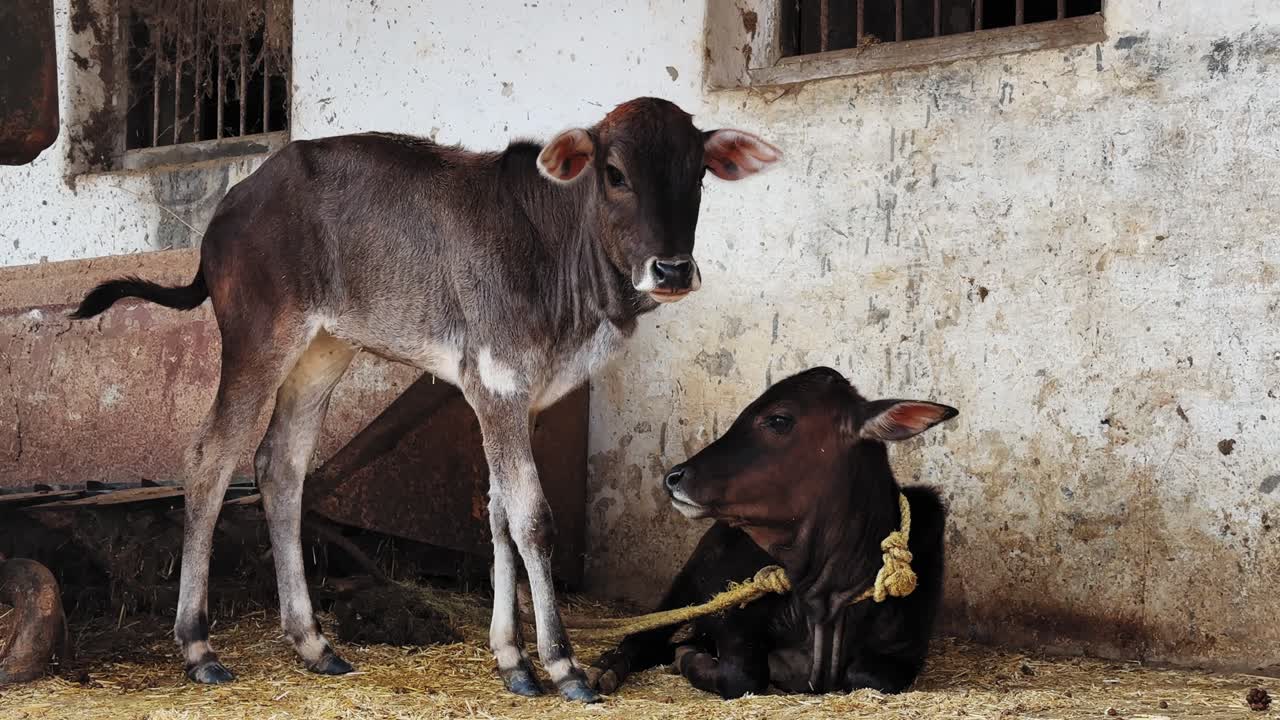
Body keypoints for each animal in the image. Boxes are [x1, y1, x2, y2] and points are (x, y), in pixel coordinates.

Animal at [70, 97, 780, 702]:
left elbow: (497, 513)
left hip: (322, 351)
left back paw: (314, 643)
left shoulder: (513, 399)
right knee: (210, 459)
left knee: (280, 466)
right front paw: (561, 665)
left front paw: (512, 662)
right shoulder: (498, 384)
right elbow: (533, 519)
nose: (673, 270)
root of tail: (231, 203)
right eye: (614, 173)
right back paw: (199, 646)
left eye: (699, 175)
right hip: (257, 340)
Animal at [588, 366, 956, 699]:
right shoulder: (732, 616)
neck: (825, 600)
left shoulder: (903, 650)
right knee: (644, 635)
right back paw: (605, 669)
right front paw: (690, 658)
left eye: (779, 420)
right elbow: (741, 676)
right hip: (690, 578)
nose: (673, 477)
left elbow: (868, 676)